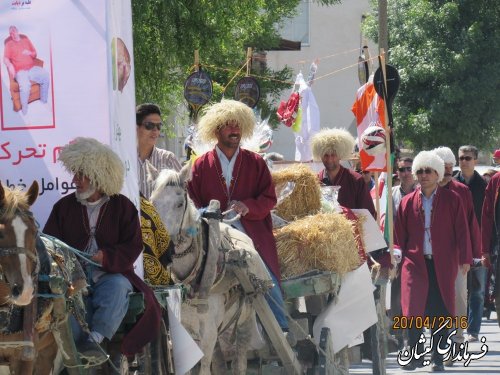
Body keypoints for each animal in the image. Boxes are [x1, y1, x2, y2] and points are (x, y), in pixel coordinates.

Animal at [150, 164, 272, 375]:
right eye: (152, 202)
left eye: (180, 204)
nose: (163, 250)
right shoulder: (182, 331)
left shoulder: (208, 333)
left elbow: (205, 368)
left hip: (246, 319)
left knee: (240, 361)